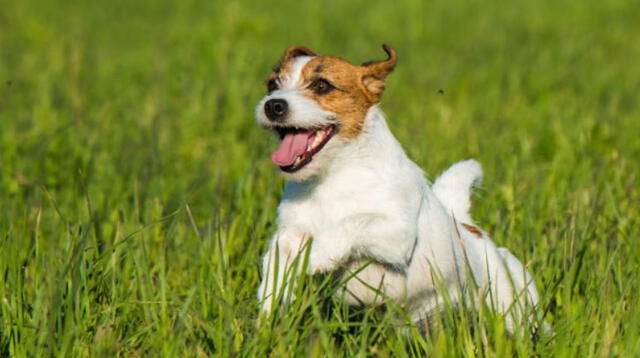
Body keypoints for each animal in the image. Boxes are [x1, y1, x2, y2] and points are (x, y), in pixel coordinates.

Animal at [254, 44, 540, 332]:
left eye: (322, 85)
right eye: (272, 85)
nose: (273, 105)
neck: (331, 176)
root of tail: (466, 225)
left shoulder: (398, 234)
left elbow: (355, 221)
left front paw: (317, 255)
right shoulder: (290, 229)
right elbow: (279, 255)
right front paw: (268, 310)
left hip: (513, 307)